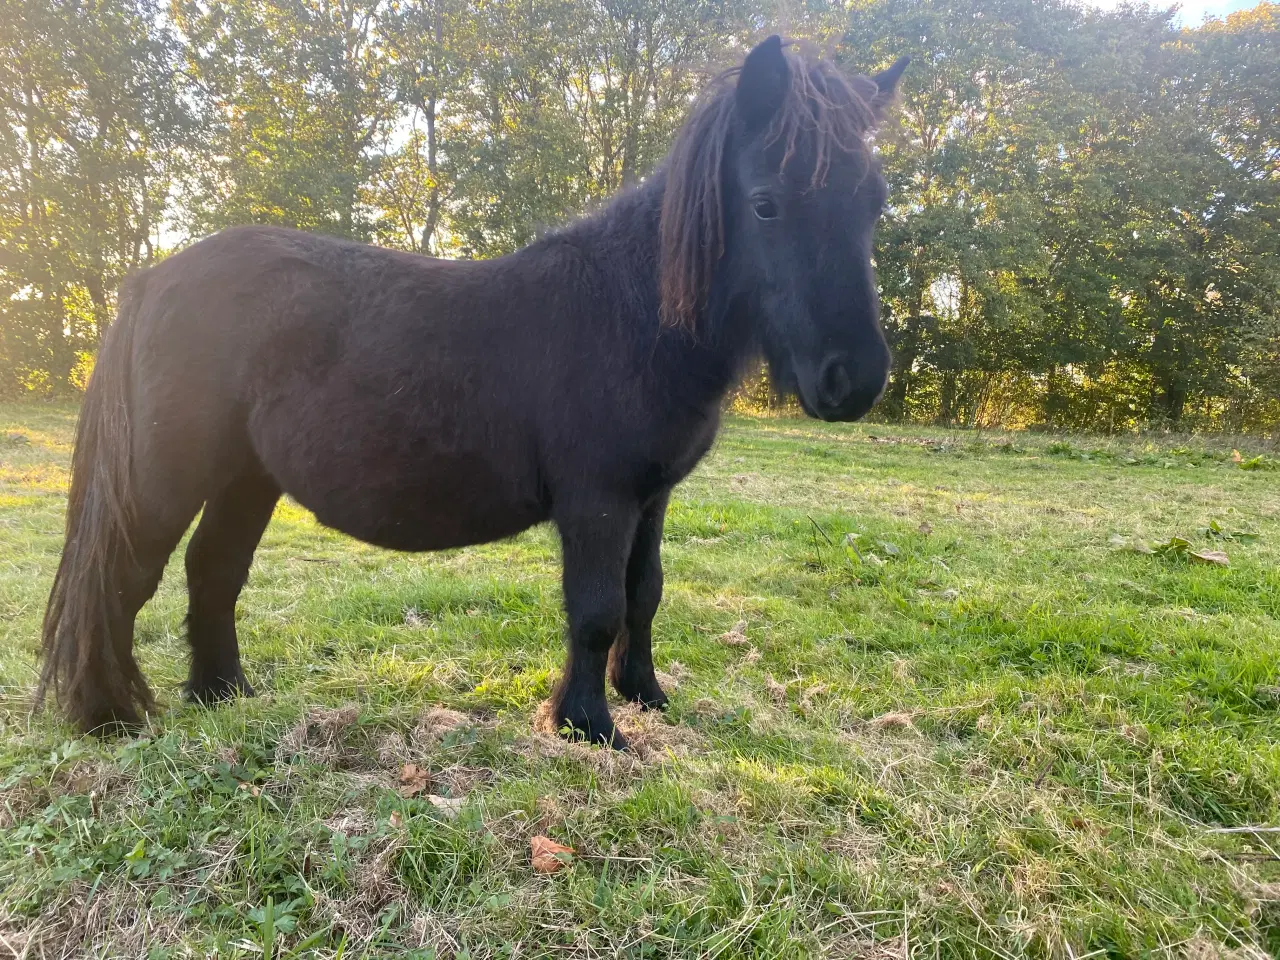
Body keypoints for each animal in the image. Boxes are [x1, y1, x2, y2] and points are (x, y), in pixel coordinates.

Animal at [40, 37, 906, 747]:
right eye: (765, 202)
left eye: (874, 202)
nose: (852, 380)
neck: (629, 313)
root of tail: (152, 278)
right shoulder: (598, 501)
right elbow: (596, 609)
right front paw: (589, 726)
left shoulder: (652, 498)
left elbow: (645, 594)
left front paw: (645, 696)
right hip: (167, 478)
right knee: (123, 578)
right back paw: (110, 717)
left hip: (247, 477)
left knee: (212, 572)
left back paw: (224, 694)